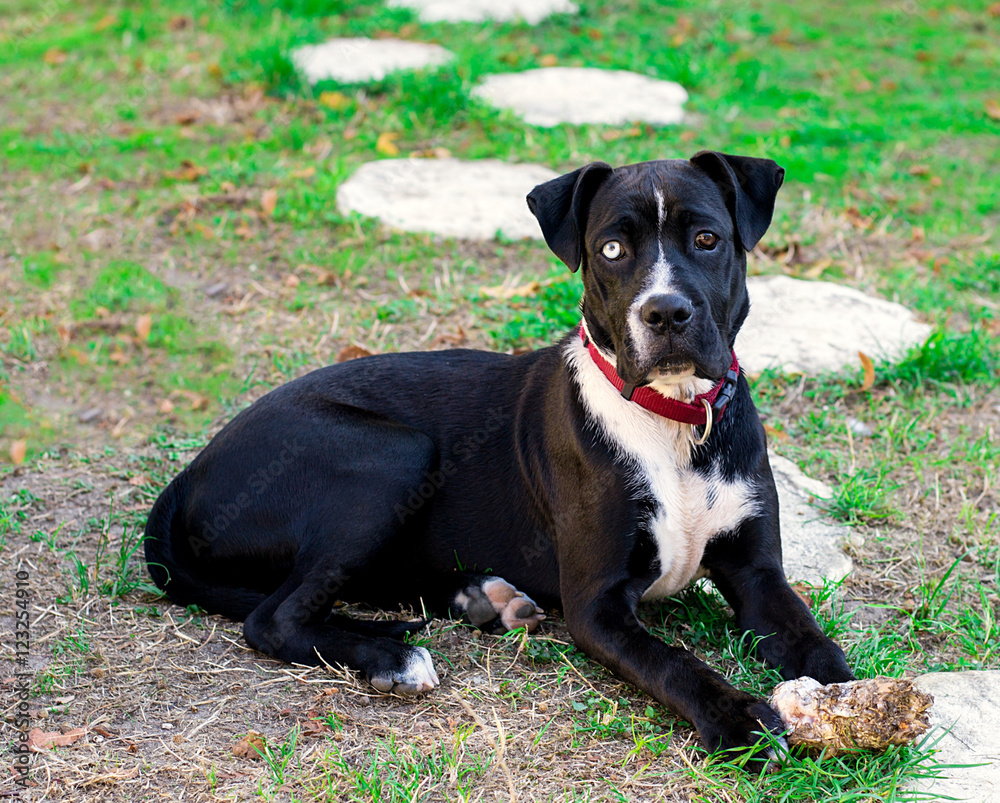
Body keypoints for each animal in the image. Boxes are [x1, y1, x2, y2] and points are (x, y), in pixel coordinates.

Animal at [146, 152, 852, 768]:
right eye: (611, 250)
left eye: (707, 238)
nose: (666, 311)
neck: (675, 423)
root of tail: (188, 475)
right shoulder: (598, 606)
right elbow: (674, 662)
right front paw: (738, 718)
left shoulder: (758, 574)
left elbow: (815, 643)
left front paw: (849, 703)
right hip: (393, 454)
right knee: (273, 617)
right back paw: (392, 657)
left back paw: (478, 599)